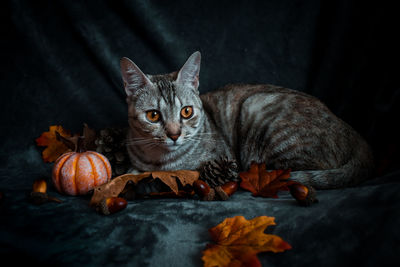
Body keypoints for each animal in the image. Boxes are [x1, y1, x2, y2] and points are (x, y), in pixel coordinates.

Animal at [119, 51, 376, 191]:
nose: (174, 134)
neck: (159, 162)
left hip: (257, 107)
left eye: (186, 112)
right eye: (153, 115)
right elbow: (129, 173)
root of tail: (353, 132)